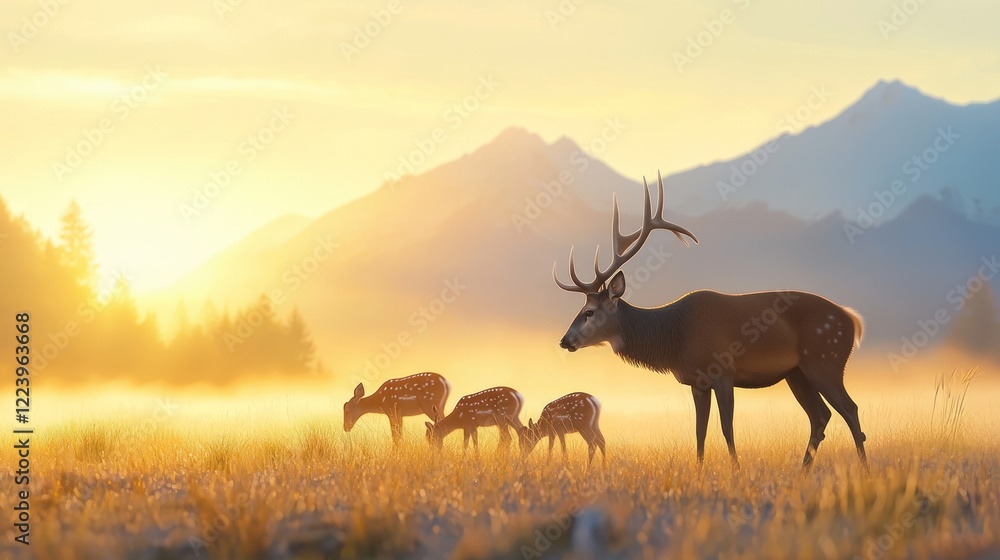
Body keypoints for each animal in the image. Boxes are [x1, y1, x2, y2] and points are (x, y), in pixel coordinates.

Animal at [553, 172, 867, 471]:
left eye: (589, 311)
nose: (565, 340)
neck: (675, 339)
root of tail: (853, 320)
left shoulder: (723, 371)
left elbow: (727, 428)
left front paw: (736, 472)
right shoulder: (698, 382)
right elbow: (699, 432)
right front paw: (700, 471)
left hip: (825, 360)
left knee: (849, 408)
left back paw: (863, 469)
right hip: (797, 373)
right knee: (820, 416)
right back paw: (803, 472)